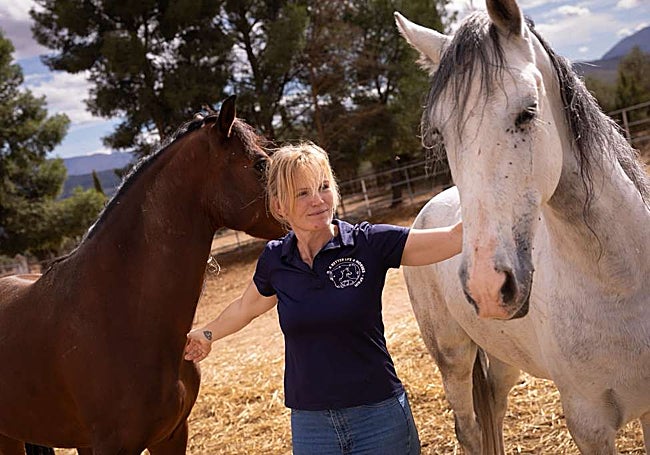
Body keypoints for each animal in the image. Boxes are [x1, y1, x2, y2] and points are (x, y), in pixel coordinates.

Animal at [395, 1, 650, 453]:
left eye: (527, 111)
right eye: (440, 133)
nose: (486, 287)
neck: (623, 283)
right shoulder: (588, 424)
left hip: (501, 356)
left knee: (493, 409)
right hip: (453, 358)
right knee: (470, 428)